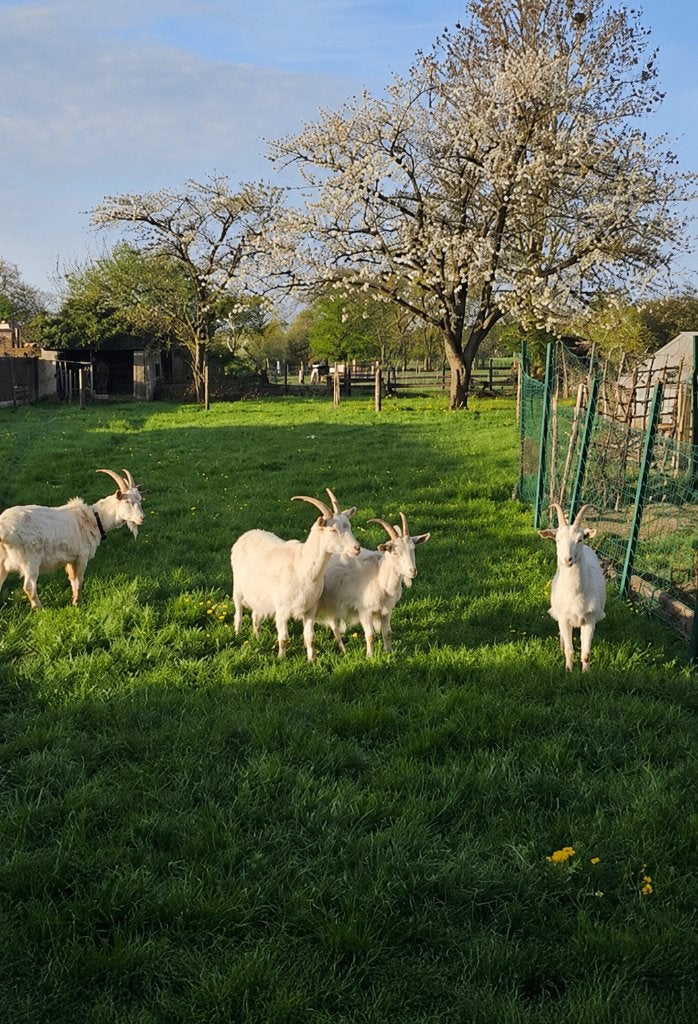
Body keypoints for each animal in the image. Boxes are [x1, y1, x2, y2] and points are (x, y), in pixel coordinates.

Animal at [0, 469, 145, 609]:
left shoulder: (70, 559)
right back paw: (40, 609)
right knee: (29, 586)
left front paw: (74, 599)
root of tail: (3, 529)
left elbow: (72, 579)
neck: (93, 519)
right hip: (30, 561)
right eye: (127, 501)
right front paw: (77, 602)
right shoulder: (82, 556)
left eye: (140, 500)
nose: (142, 518)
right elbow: (79, 580)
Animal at [231, 488, 360, 661]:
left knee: (255, 617)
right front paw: (281, 658)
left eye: (349, 526)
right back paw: (238, 635)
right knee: (238, 613)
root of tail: (246, 534)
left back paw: (257, 638)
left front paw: (312, 660)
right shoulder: (281, 609)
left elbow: (310, 637)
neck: (302, 566)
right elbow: (283, 638)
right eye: (333, 529)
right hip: (238, 587)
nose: (356, 548)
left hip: (259, 596)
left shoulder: (310, 609)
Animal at [317, 512, 431, 657]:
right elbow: (370, 635)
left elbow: (387, 633)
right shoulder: (364, 611)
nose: (412, 571)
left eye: (414, 549)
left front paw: (388, 652)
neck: (379, 578)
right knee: (333, 624)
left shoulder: (387, 610)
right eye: (395, 552)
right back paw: (343, 649)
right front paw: (370, 656)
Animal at [538, 503, 606, 672]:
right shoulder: (564, 617)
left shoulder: (590, 619)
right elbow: (569, 650)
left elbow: (586, 653)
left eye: (580, 539)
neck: (575, 594)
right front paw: (568, 670)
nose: (567, 559)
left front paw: (586, 672)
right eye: (557, 539)